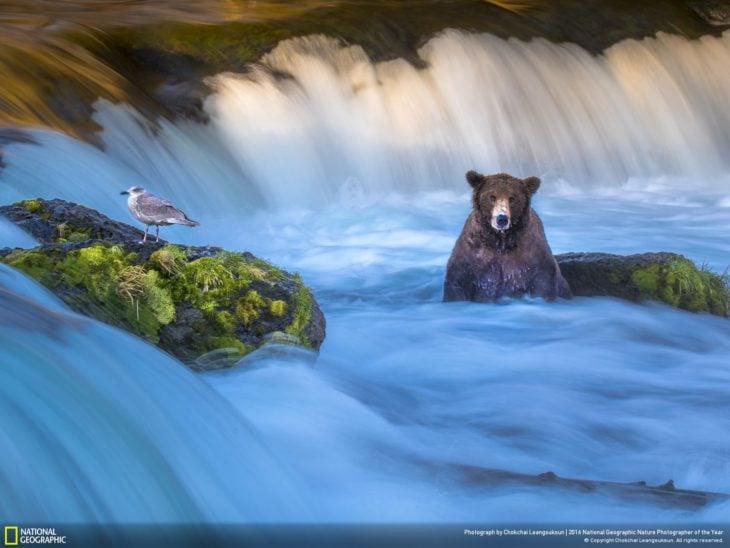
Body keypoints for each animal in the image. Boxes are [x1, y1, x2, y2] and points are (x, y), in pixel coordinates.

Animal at [444, 170, 568, 302]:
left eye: (512, 198)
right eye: (492, 197)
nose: (502, 219)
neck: (500, 240)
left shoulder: (532, 253)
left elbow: (543, 281)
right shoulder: (473, 254)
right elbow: (457, 282)